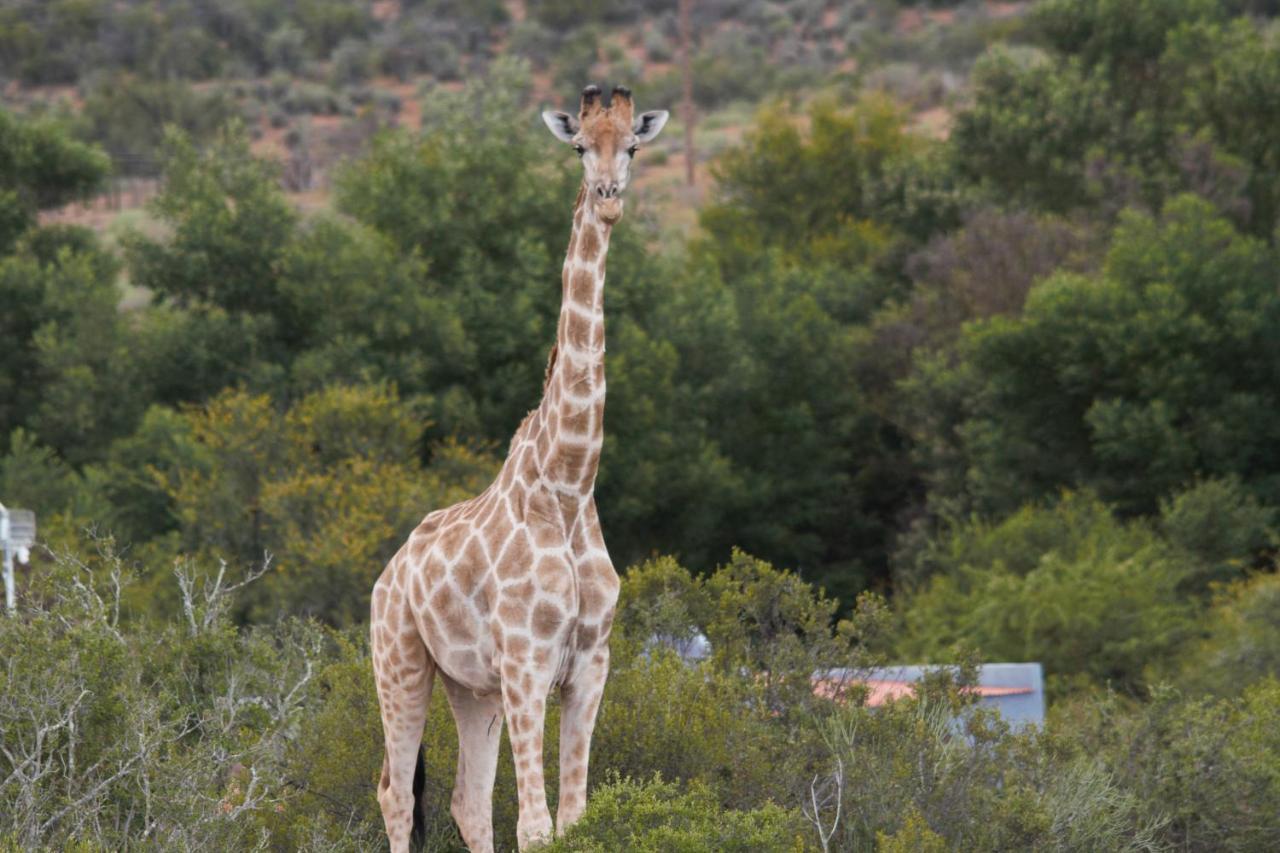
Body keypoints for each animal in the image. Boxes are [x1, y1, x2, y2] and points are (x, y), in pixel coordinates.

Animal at [371, 84, 670, 850]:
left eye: (633, 146)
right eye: (579, 146)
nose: (608, 198)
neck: (567, 483)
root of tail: (388, 575)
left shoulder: (590, 665)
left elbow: (574, 815)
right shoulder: (527, 661)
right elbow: (537, 825)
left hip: (470, 687)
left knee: (466, 800)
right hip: (399, 660)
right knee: (394, 791)